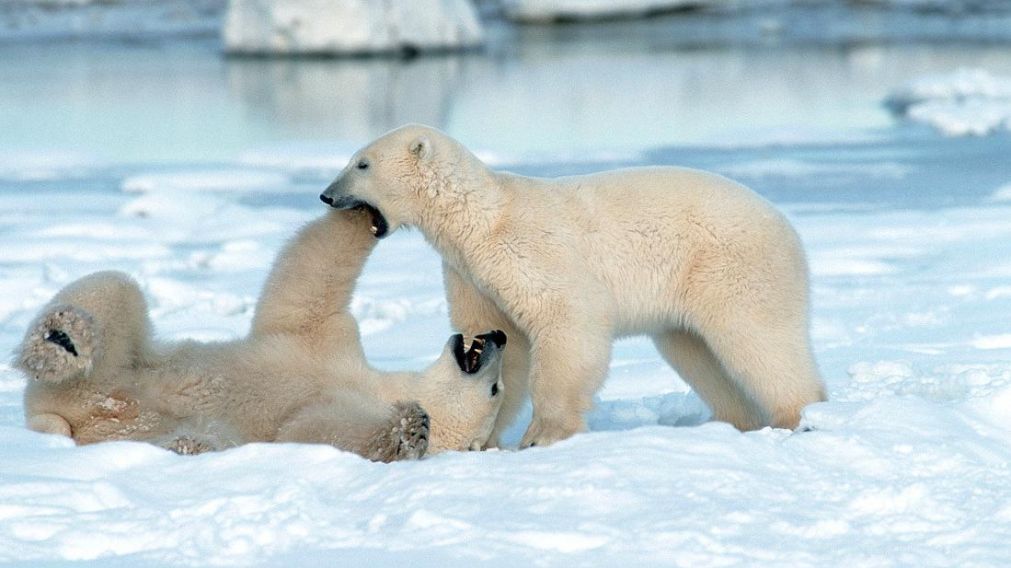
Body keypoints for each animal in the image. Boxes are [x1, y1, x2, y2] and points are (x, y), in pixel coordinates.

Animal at [15, 208, 507, 461]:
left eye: (496, 390)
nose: (500, 336)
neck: (376, 385)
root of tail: (63, 417)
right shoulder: (329, 344)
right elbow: (307, 292)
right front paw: (367, 212)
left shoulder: (338, 402)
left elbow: (310, 429)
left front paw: (409, 429)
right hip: (119, 363)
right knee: (115, 290)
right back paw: (60, 341)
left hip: (126, 416)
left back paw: (186, 444)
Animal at [319, 123, 827, 448]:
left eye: (361, 163)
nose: (325, 195)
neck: (481, 219)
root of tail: (788, 226)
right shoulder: (470, 272)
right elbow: (500, 340)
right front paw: (486, 435)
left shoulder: (529, 250)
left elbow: (566, 320)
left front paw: (543, 434)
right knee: (696, 352)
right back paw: (732, 420)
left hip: (732, 268)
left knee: (759, 338)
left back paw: (799, 415)